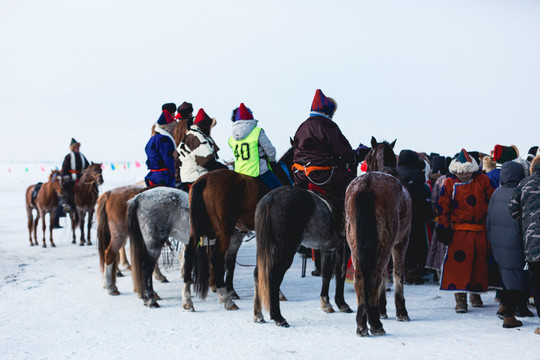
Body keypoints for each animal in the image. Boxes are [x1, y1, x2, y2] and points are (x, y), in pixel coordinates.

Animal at [253, 186, 350, 326]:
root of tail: (270, 199)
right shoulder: (344, 248)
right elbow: (340, 275)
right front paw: (342, 304)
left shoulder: (327, 249)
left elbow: (326, 273)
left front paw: (326, 303)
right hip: (285, 251)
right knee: (274, 277)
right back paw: (278, 317)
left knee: (258, 274)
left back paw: (258, 314)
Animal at [344, 136, 412, 336]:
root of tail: (367, 186)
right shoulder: (401, 242)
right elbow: (397, 274)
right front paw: (400, 312)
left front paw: (382, 309)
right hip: (385, 243)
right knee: (374, 276)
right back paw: (375, 324)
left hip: (355, 244)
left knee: (360, 278)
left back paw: (362, 323)